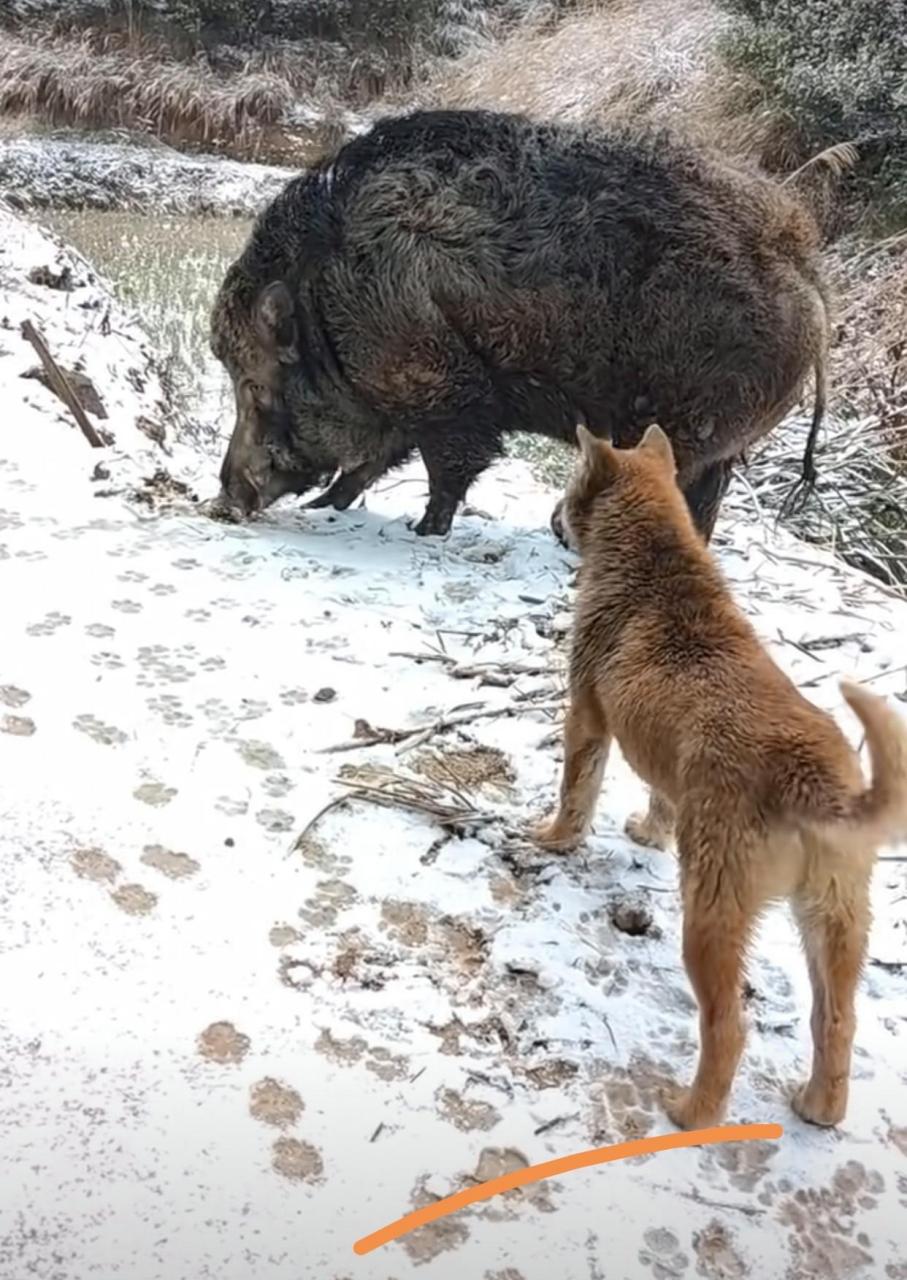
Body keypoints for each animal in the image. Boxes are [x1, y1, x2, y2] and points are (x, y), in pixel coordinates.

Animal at [534, 427, 905, 1131]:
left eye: (570, 486)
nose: (553, 520)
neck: (656, 562)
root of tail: (813, 781)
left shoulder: (587, 715)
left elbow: (575, 790)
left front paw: (551, 838)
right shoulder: (664, 756)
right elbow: (660, 799)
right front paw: (648, 832)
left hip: (712, 913)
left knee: (728, 1026)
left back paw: (691, 1111)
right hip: (839, 921)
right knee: (836, 1020)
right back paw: (819, 1108)